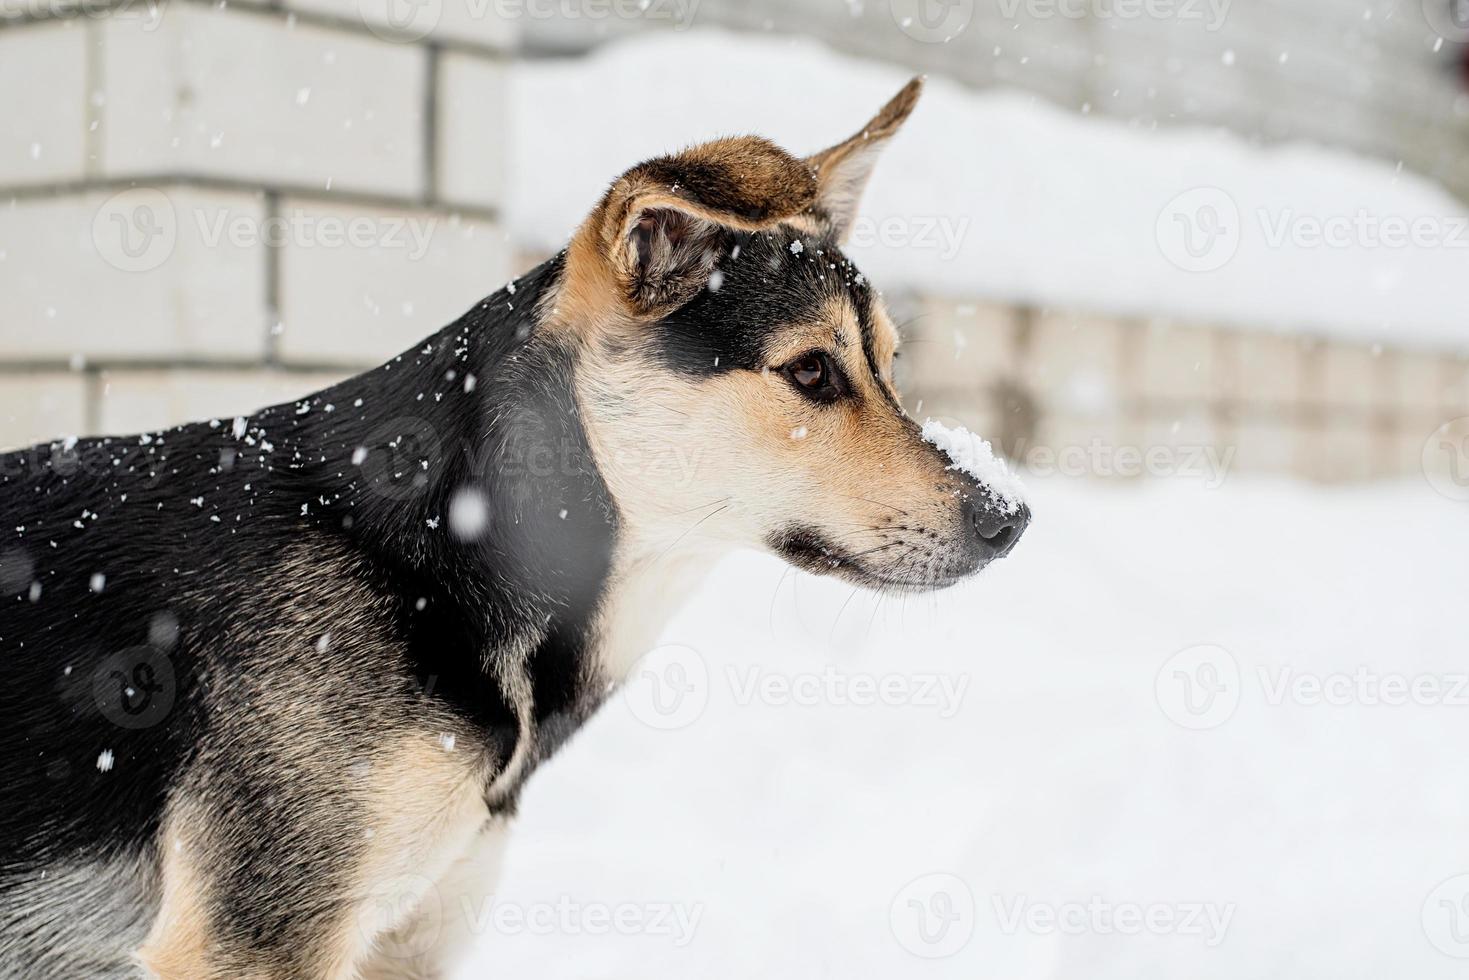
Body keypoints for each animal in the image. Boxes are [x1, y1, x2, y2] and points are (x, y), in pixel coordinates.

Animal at [0, 78, 1034, 980]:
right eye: (811, 372)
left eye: (889, 365)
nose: (1011, 517)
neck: (441, 566)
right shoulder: (256, 941)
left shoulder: (410, 939)